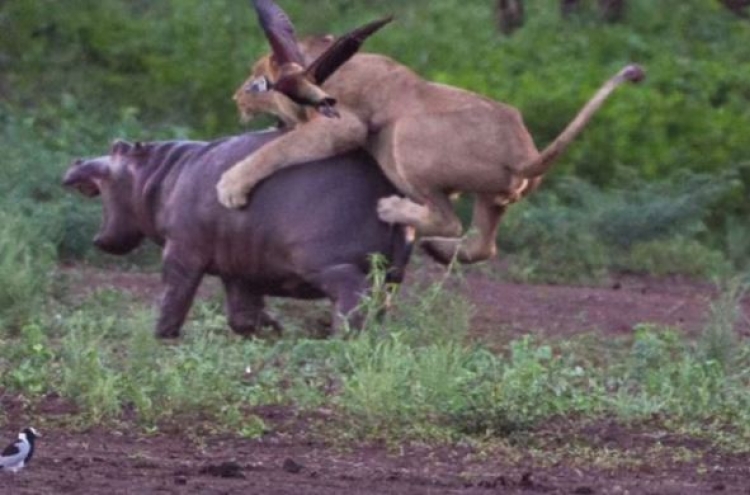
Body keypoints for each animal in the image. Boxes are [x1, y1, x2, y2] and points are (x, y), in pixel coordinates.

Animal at [63, 130, 418, 340]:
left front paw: (161, 335)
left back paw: (342, 337)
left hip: (329, 265)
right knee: (379, 302)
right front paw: (272, 329)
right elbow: (241, 312)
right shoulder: (239, 267)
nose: (77, 159)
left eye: (117, 148)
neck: (158, 175)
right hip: (389, 274)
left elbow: (174, 292)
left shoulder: (182, 250)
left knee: (355, 294)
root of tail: (387, 191)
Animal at [219, 0, 648, 266]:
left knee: (449, 220)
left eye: (256, 83)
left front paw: (230, 187)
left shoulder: (345, 126)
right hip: (494, 199)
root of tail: (526, 154)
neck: (314, 69)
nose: (235, 98)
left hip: (406, 137)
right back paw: (438, 251)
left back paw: (394, 211)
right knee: (483, 244)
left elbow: (278, 149)